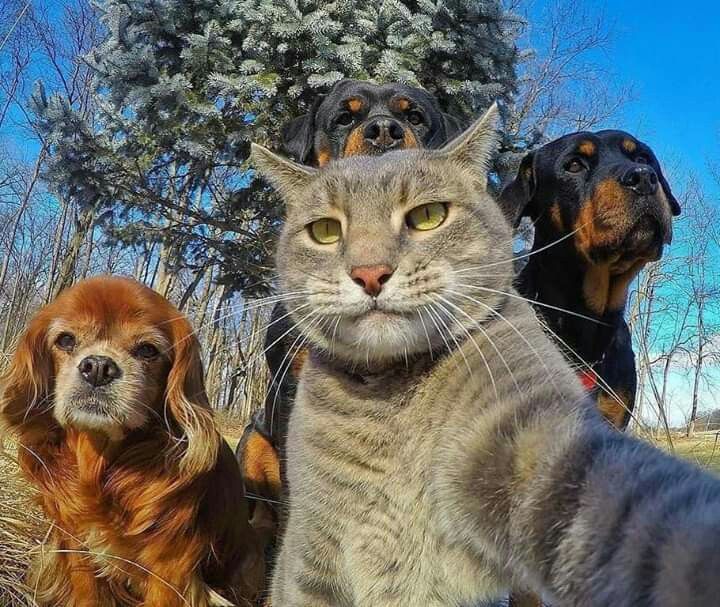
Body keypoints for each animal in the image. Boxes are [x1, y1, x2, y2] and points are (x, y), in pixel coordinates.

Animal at [0, 276, 264, 607]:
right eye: (66, 340)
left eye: (147, 350)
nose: (98, 367)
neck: (103, 461)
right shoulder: (77, 547)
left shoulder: (170, 569)